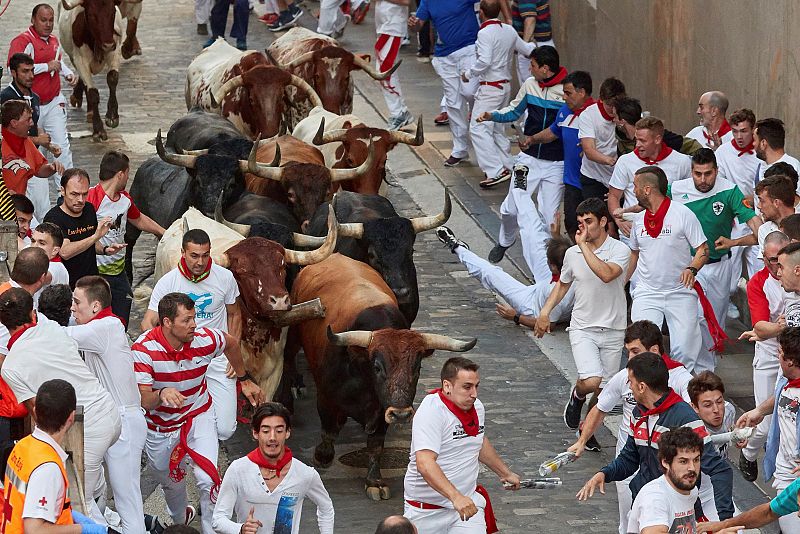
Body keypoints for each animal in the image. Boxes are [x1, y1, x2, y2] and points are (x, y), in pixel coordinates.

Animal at [59, 0, 123, 140]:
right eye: (91, 15)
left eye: (113, 12)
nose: (108, 45)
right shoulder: (80, 60)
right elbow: (93, 92)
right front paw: (98, 128)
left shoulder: (114, 51)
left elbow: (113, 78)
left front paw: (112, 116)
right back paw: (88, 109)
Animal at [288, 253, 476, 500]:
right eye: (377, 367)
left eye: (417, 367)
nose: (402, 414)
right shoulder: (326, 398)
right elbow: (328, 433)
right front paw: (322, 456)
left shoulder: (383, 411)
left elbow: (376, 445)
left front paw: (374, 481)